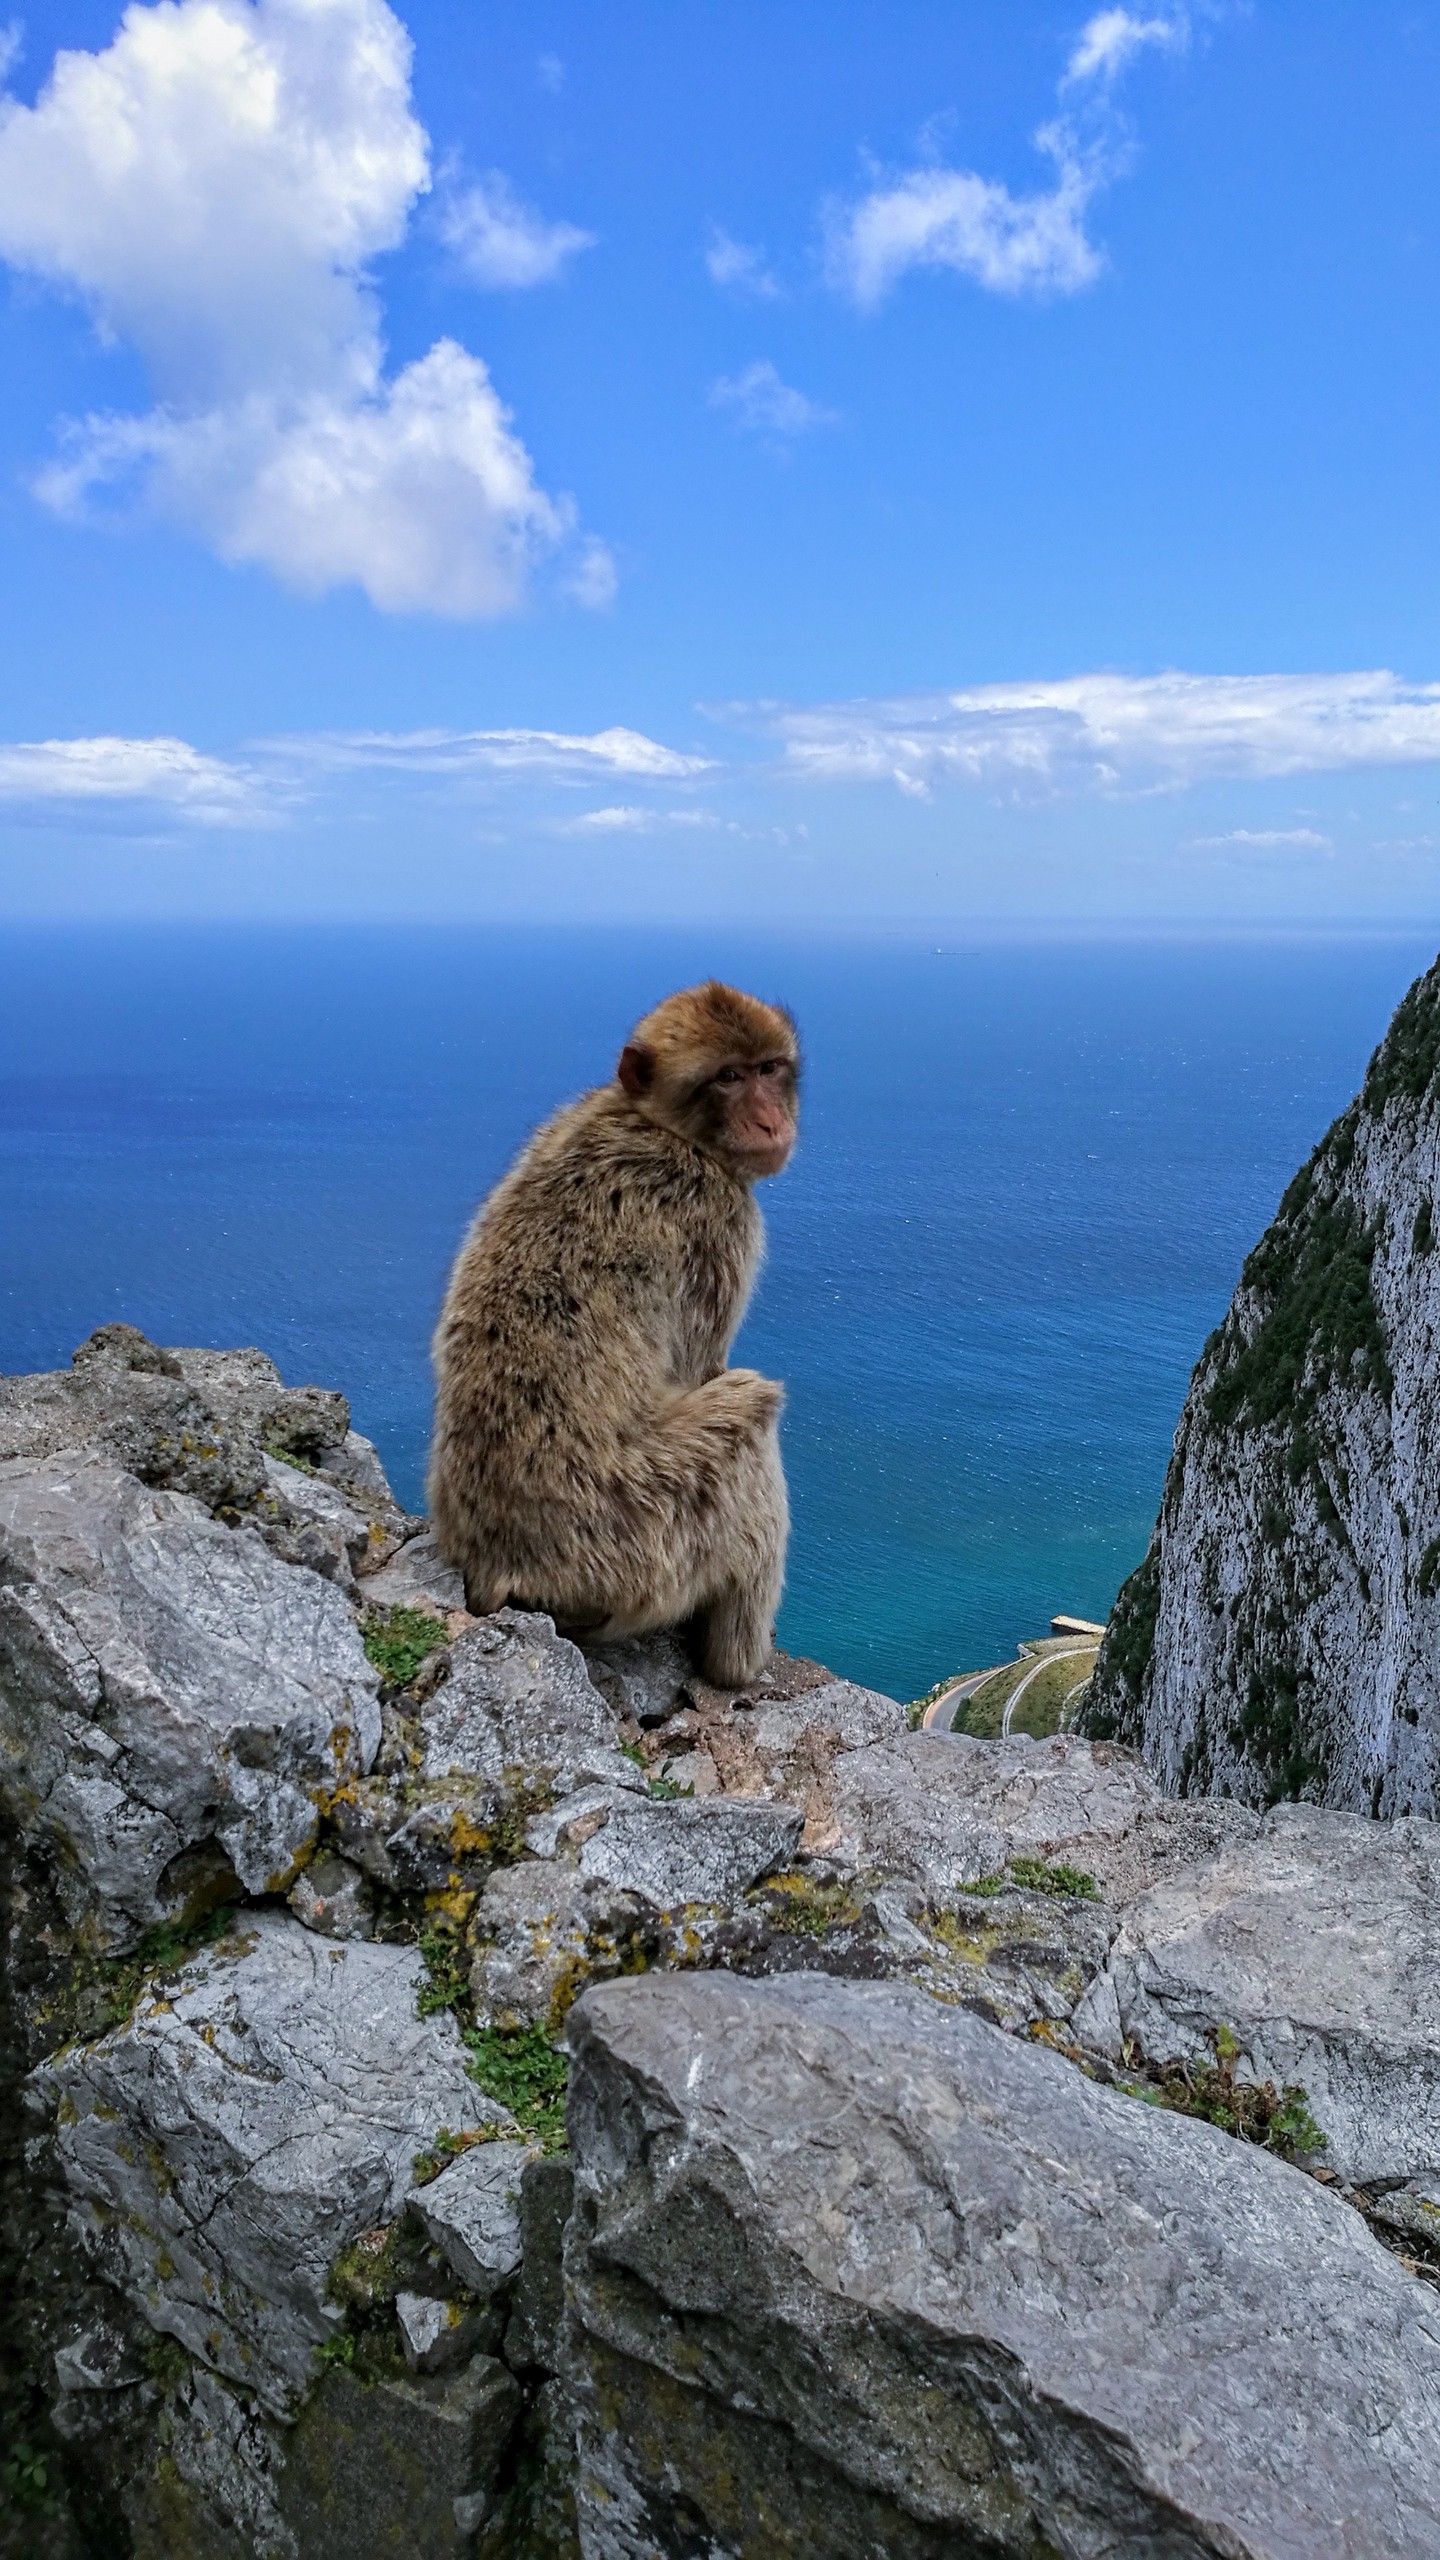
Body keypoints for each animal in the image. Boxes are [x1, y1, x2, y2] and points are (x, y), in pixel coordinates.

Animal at [425, 972, 794, 1679]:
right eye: (728, 1077)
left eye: (768, 1068)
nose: (771, 1120)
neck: (655, 1122)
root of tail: (500, 1567)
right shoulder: (719, 1217)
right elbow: (704, 1369)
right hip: (640, 1535)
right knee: (750, 1415)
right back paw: (737, 1666)